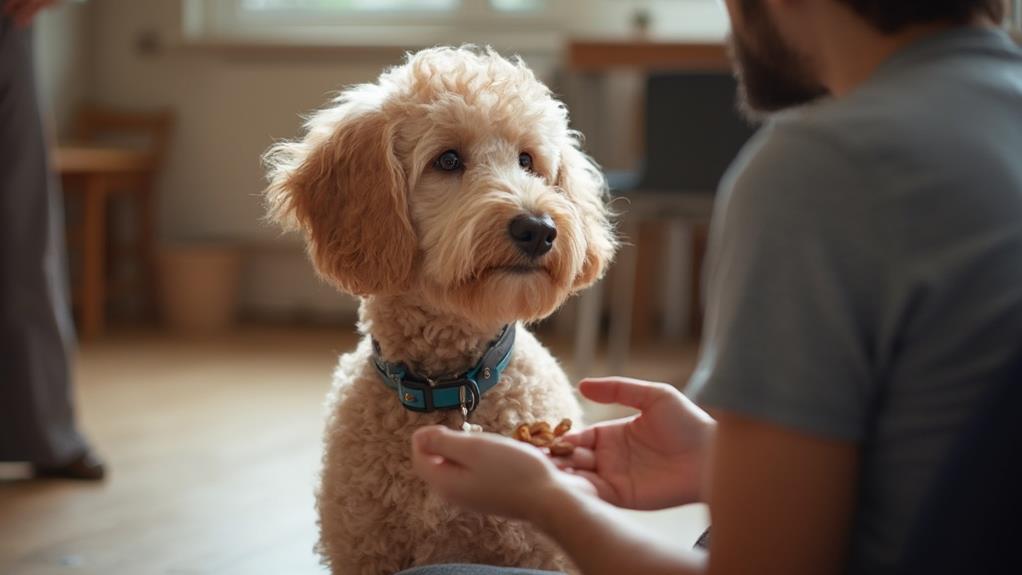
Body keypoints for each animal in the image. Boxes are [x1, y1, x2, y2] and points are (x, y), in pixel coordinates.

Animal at [263, 46, 613, 575]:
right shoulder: (363, 549)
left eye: (527, 160)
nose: (538, 228)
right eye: (447, 160)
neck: (450, 386)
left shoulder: (541, 554)